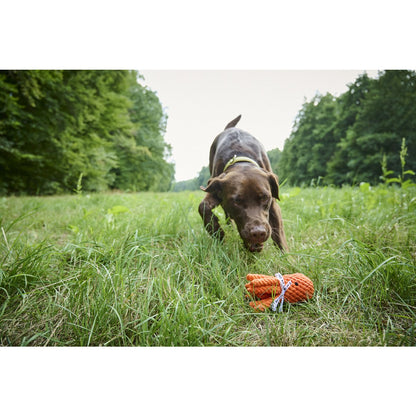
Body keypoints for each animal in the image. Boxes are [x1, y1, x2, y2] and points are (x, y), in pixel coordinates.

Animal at [200, 114, 288, 252]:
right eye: (237, 201)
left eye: (265, 197)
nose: (258, 233)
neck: (241, 160)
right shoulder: (215, 189)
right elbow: (203, 207)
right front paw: (217, 232)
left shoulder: (273, 204)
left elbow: (279, 234)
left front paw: (287, 256)